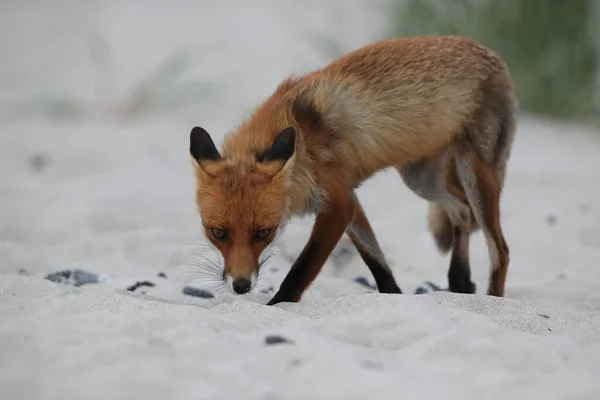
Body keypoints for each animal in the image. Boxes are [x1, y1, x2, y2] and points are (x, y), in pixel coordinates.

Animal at [191, 36, 516, 304]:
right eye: (218, 232)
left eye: (263, 233)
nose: (241, 286)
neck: (301, 143)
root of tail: (490, 52)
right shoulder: (348, 197)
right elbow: (376, 261)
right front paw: (394, 296)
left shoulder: (337, 204)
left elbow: (301, 270)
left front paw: (277, 306)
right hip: (421, 180)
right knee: (460, 210)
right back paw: (460, 283)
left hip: (475, 175)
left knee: (499, 249)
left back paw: (493, 298)